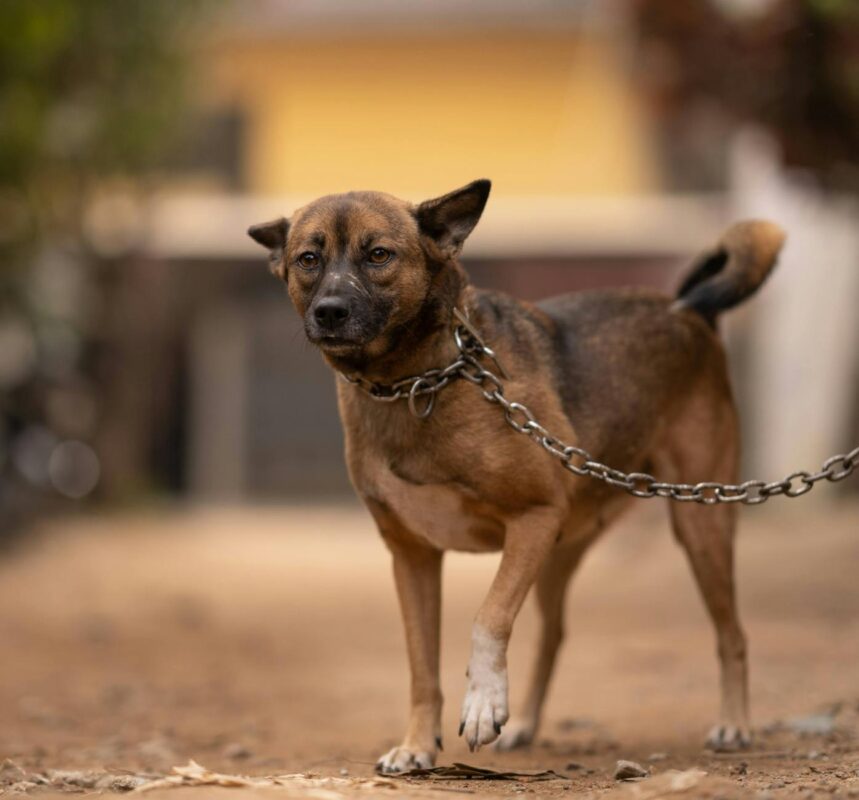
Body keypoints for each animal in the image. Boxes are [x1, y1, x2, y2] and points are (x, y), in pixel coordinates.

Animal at [249, 183, 788, 776]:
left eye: (379, 255)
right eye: (308, 259)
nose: (330, 311)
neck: (417, 382)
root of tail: (689, 313)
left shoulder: (532, 517)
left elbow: (489, 616)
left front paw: (484, 704)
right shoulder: (413, 557)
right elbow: (421, 665)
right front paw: (417, 744)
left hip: (698, 526)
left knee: (731, 635)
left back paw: (734, 724)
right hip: (560, 552)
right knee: (553, 635)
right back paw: (527, 723)